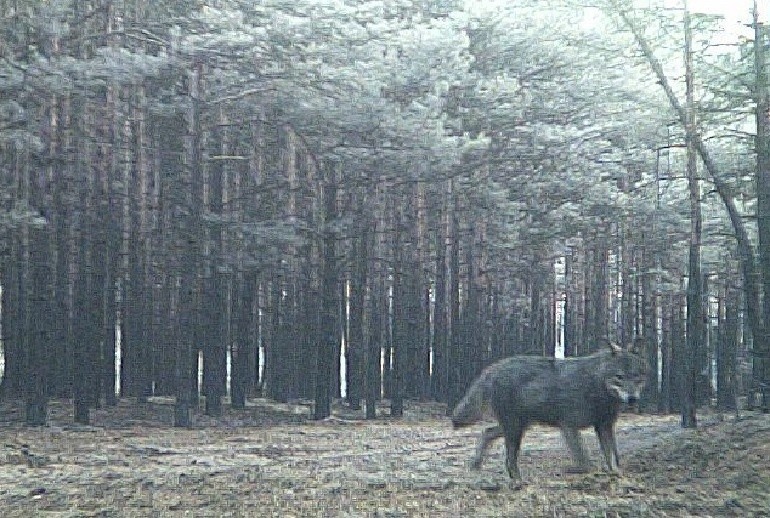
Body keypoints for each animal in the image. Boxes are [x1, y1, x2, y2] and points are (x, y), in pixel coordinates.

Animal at [452, 340, 644, 482]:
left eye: (636, 376)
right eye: (619, 377)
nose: (632, 399)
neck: (595, 385)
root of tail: (493, 368)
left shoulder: (604, 427)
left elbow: (613, 458)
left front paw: (615, 475)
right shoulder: (569, 427)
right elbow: (585, 461)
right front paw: (575, 470)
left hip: (519, 426)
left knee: (486, 432)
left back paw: (476, 465)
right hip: (515, 429)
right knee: (509, 459)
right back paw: (518, 481)